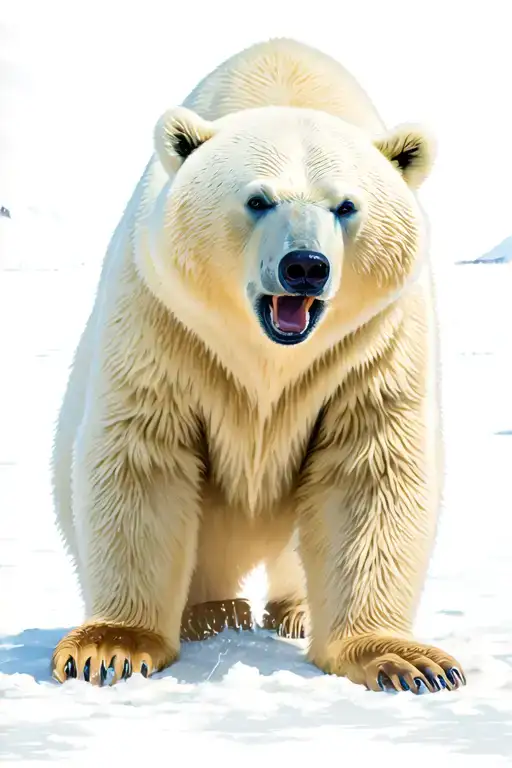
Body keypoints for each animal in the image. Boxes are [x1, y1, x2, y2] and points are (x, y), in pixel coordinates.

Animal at [51, 37, 466, 694]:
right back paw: (210, 612)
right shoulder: (165, 321)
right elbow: (144, 455)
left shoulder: (374, 341)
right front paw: (109, 649)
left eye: (346, 205)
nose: (306, 266)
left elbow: (368, 465)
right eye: (257, 199)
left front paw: (408, 663)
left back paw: (295, 613)